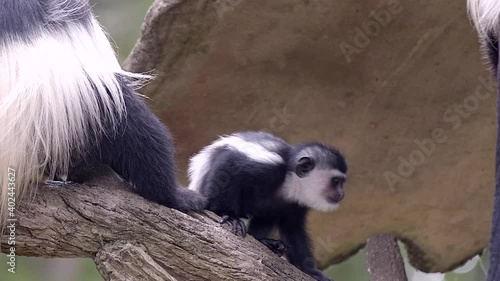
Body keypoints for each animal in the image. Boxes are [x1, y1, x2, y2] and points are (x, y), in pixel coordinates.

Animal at [188, 131, 348, 280]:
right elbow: (229, 164)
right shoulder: (267, 167)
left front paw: (311, 271)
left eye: (341, 182)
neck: (288, 183)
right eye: (336, 181)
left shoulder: (297, 203)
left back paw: (265, 242)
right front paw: (229, 216)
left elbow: (293, 228)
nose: (341, 194)